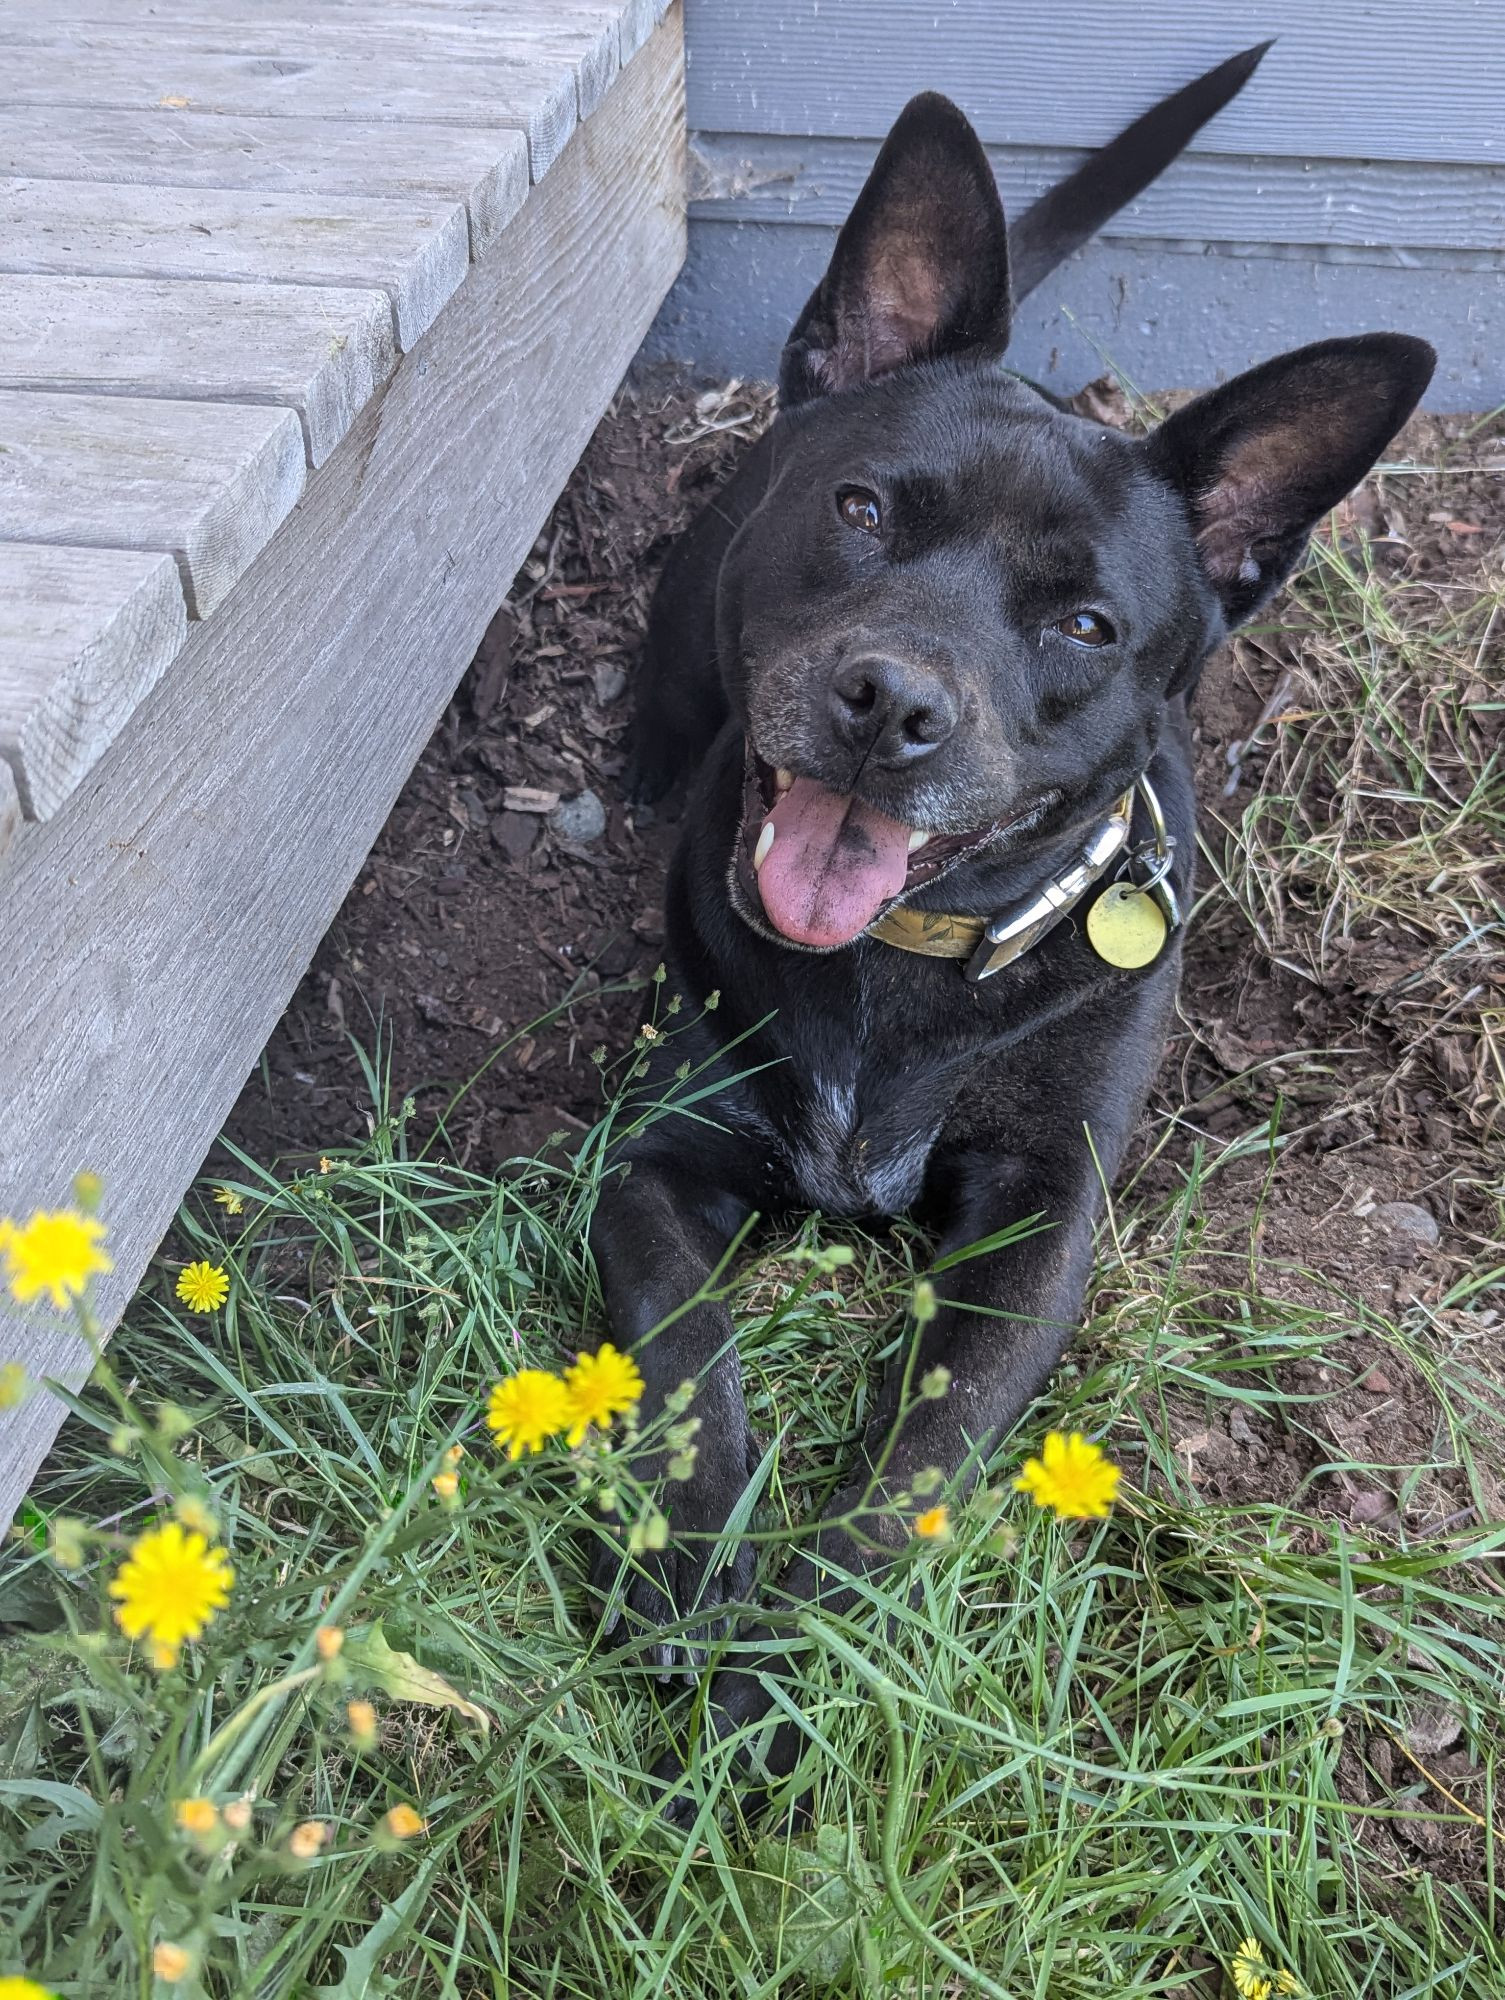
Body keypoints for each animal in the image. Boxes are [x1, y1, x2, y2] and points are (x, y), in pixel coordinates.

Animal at [592, 47, 1432, 1784]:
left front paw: (783, 1671)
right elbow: (689, 1368)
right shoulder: (649, 1162)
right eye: (861, 510)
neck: (895, 979)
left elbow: (916, 1461)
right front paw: (699, 1594)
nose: (889, 705)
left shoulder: (1038, 1232)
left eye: (1088, 625)